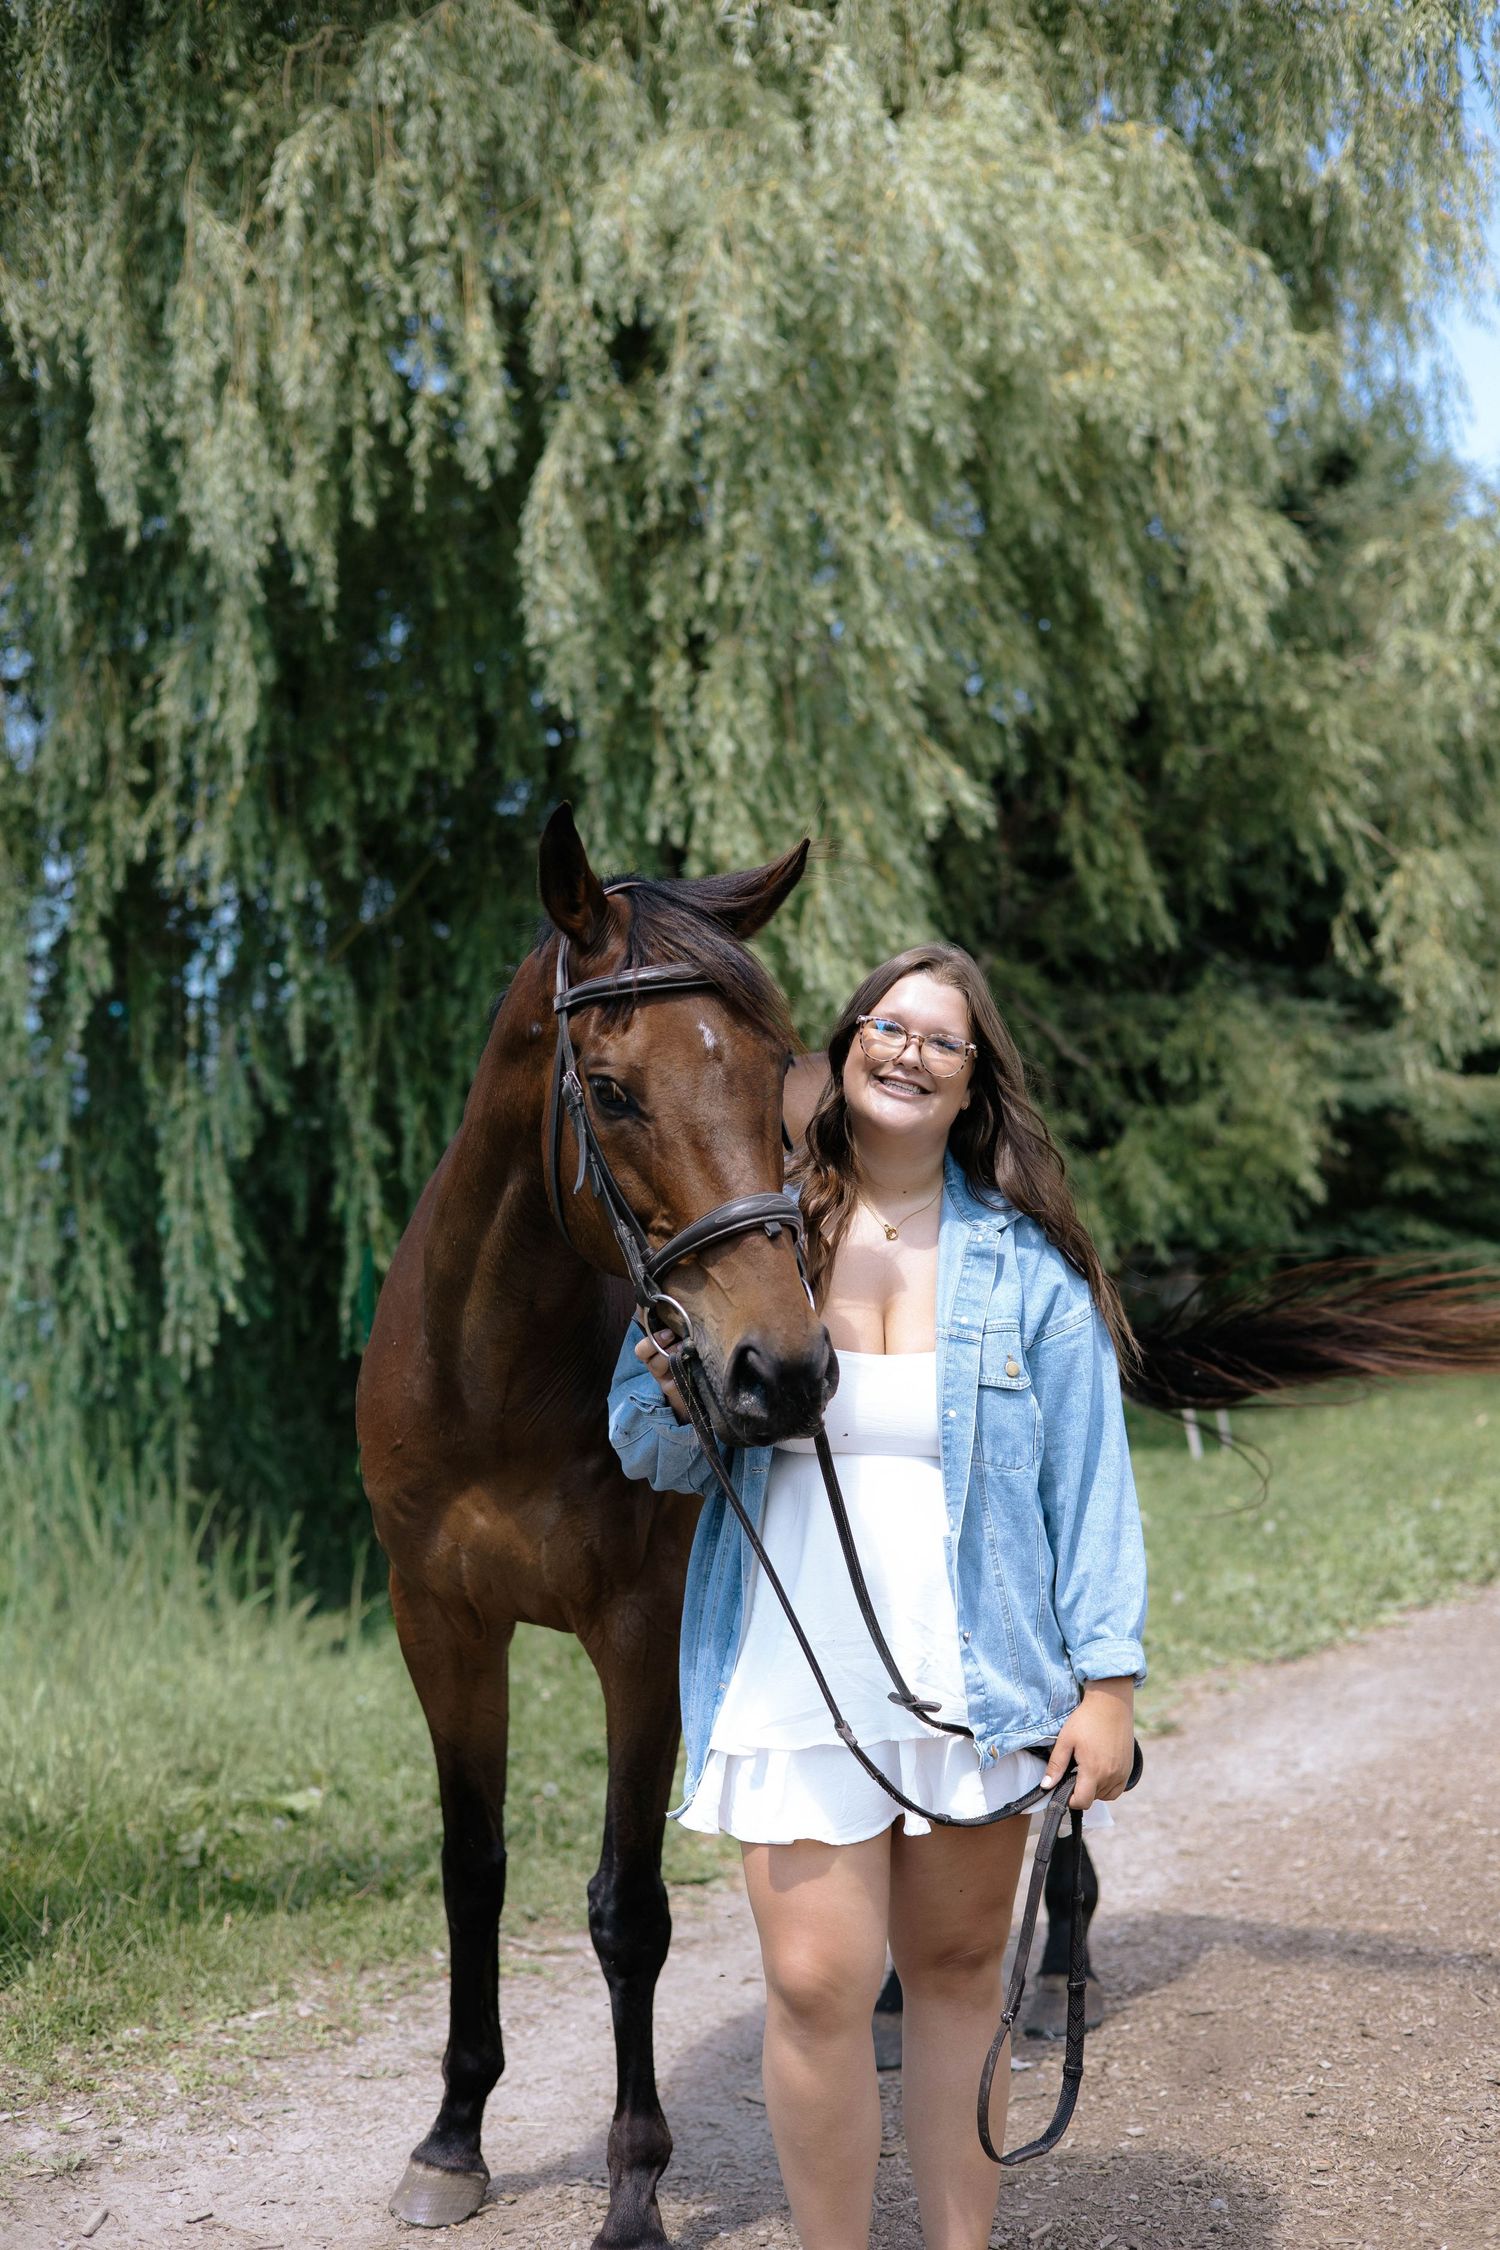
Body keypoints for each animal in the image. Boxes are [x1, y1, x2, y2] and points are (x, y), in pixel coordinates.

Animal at [356, 804, 835, 2243]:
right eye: (612, 1091)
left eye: (780, 1081)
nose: (779, 1372)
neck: (493, 1379)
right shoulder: (439, 1624)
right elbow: (471, 1870)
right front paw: (452, 2138)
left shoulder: (638, 1634)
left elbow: (629, 1912)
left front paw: (633, 2187)